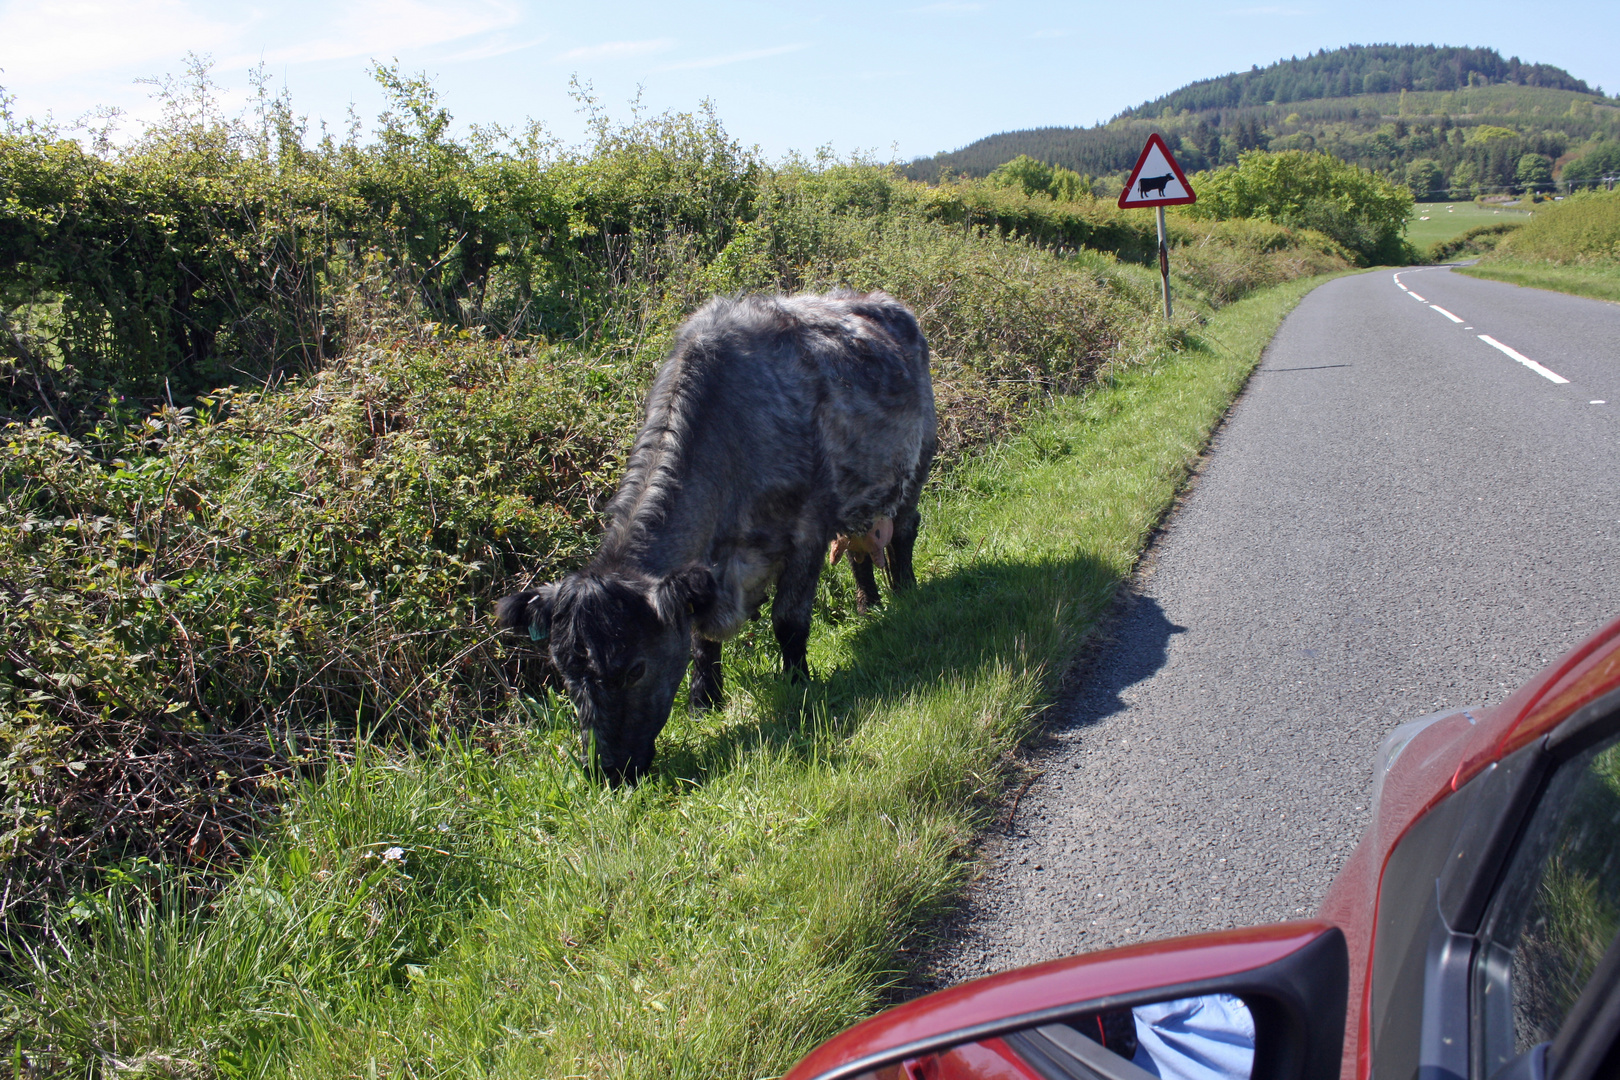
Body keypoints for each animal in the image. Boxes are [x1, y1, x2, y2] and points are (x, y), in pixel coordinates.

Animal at [498, 291, 946, 786]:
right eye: (565, 673)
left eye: (635, 669)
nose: (606, 770)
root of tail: (881, 301)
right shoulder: (703, 572)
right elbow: (699, 639)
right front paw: (704, 701)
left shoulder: (808, 529)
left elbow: (789, 620)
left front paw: (797, 682)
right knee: (859, 550)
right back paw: (870, 607)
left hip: (918, 461)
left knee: (903, 531)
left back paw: (905, 592)